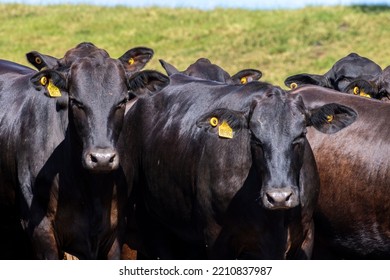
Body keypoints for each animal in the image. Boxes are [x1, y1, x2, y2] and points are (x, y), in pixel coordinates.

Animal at [119, 73, 356, 260]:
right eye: (256, 139)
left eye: (301, 135)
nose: (279, 197)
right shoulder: (216, 238)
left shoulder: (305, 235)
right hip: (149, 221)